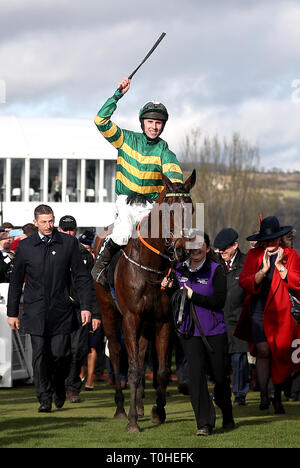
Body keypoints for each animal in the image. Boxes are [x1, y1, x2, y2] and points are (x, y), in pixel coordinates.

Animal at [95, 170, 196, 434]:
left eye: (191, 208)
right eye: (169, 210)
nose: (182, 250)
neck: (151, 268)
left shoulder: (163, 321)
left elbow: (160, 371)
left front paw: (157, 412)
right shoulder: (130, 318)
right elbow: (131, 369)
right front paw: (131, 422)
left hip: (146, 324)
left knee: (141, 355)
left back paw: (139, 405)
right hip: (109, 313)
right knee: (117, 354)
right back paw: (122, 408)